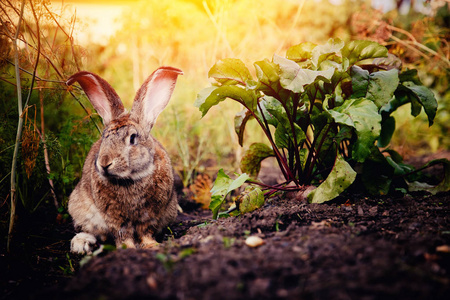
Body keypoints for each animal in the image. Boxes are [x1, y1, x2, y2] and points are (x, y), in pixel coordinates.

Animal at [66, 67, 182, 254]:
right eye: (104, 137)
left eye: (133, 138)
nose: (104, 163)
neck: (131, 178)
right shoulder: (114, 216)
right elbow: (122, 233)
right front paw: (127, 249)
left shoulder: (150, 214)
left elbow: (145, 231)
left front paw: (151, 246)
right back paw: (81, 244)